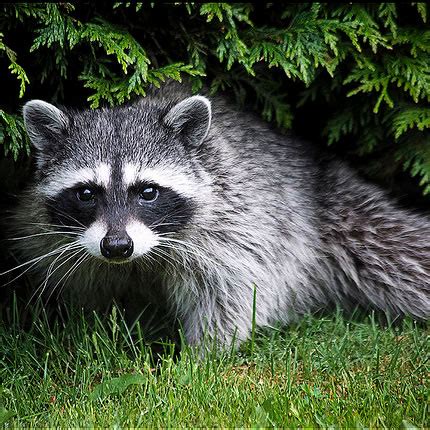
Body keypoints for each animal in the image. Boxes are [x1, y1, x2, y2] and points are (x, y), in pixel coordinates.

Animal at [6, 82, 430, 348]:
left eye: (147, 192)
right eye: (86, 193)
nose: (116, 246)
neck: (143, 257)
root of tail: (318, 174)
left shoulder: (238, 221)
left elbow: (232, 291)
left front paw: (200, 355)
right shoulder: (50, 235)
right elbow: (86, 286)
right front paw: (91, 323)